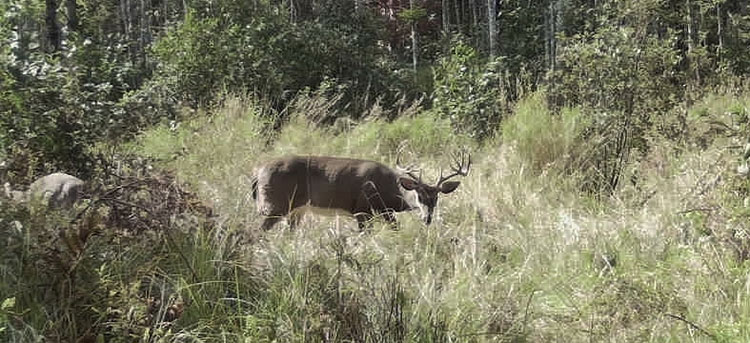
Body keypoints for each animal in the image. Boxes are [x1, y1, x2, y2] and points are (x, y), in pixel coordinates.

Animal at [253, 153, 470, 231]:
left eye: (436, 198)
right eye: (419, 195)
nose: (427, 218)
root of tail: (257, 172)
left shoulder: (384, 212)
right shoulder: (362, 209)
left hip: (296, 209)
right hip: (276, 203)